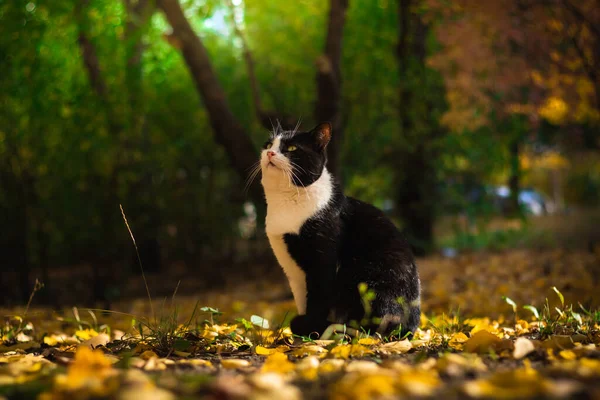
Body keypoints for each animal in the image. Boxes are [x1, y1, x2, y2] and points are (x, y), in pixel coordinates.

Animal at [258, 122, 422, 338]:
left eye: (292, 148)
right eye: (269, 144)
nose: (270, 153)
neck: (286, 201)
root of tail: (410, 329)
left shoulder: (323, 260)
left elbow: (318, 298)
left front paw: (311, 330)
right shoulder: (293, 271)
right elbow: (303, 300)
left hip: (366, 276)